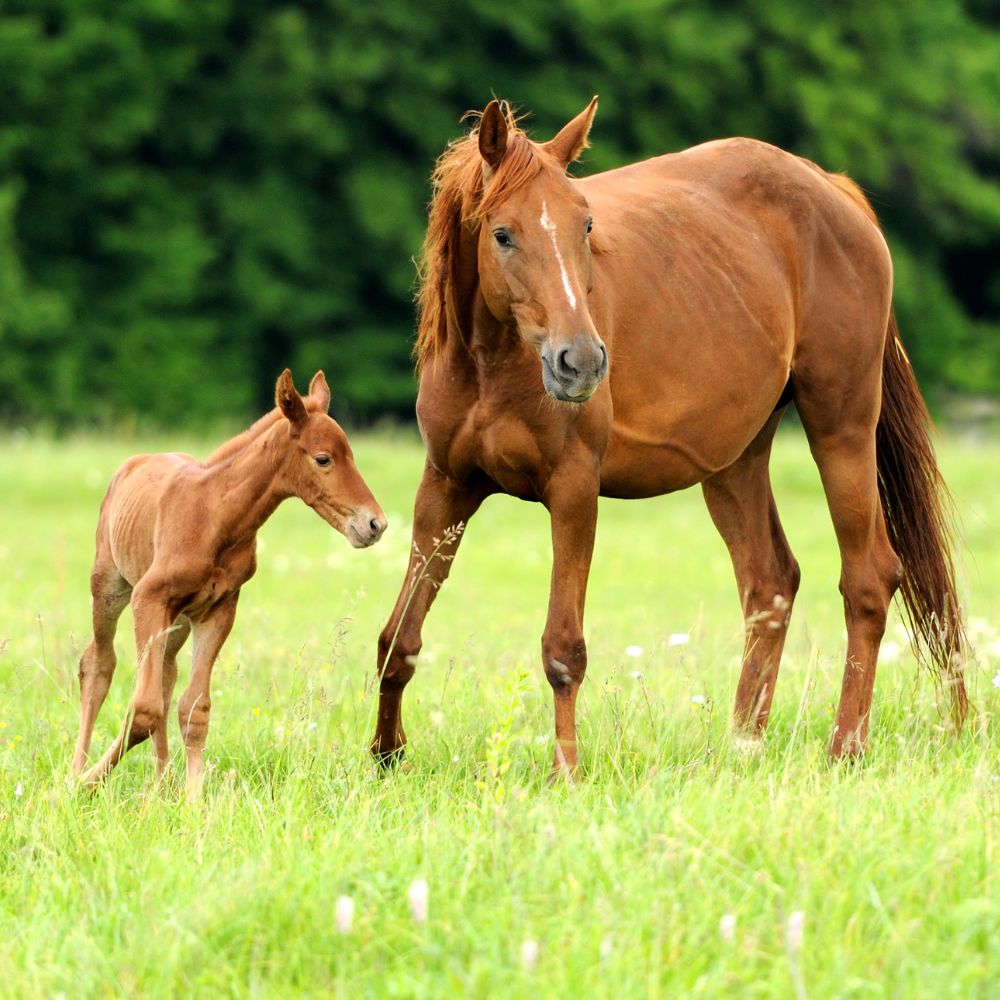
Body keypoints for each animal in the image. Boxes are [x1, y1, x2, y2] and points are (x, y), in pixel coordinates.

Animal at [73, 368, 386, 796]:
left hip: (178, 619)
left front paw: (193, 799)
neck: (215, 516)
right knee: (98, 664)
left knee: (167, 676)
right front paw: (82, 784)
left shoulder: (219, 609)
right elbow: (144, 708)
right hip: (110, 584)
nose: (375, 524)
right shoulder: (147, 598)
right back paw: (75, 770)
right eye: (323, 458)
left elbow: (193, 708)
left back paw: (162, 783)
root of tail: (133, 463)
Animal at [372, 99, 964, 772]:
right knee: (770, 583)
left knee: (868, 578)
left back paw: (844, 749)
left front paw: (566, 773)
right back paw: (742, 747)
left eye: (585, 226)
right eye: (503, 234)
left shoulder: (573, 492)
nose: (582, 362)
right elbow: (398, 639)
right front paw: (385, 755)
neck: (493, 365)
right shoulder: (444, 488)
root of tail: (833, 192)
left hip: (841, 425)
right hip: (735, 460)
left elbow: (562, 650)